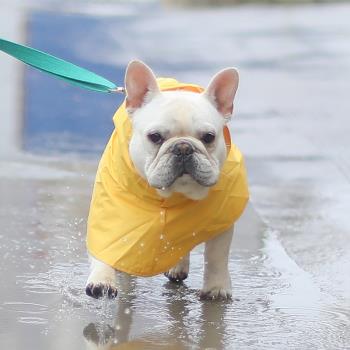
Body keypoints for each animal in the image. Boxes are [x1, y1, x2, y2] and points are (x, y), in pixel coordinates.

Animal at [85, 60, 249, 300]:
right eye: (155, 137)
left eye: (209, 137)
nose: (183, 147)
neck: (174, 194)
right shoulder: (110, 209)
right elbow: (107, 242)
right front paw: (102, 279)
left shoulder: (222, 218)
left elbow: (216, 255)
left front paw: (216, 287)